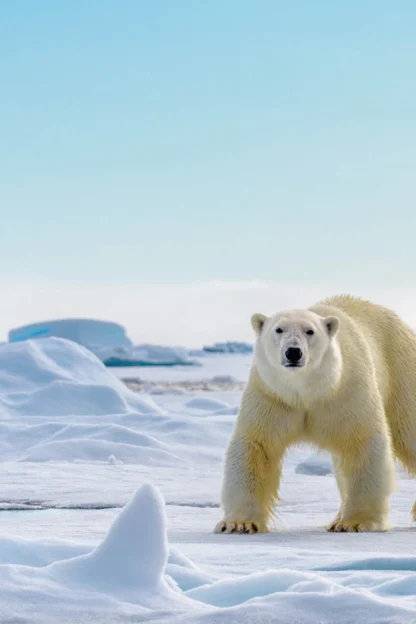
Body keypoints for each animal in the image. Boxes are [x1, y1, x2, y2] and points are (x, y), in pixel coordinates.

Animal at [214, 294, 416, 532]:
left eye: (309, 331)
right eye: (278, 329)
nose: (293, 352)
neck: (307, 393)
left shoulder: (347, 392)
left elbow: (362, 442)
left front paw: (354, 523)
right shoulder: (272, 397)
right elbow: (256, 446)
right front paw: (239, 523)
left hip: (401, 370)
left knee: (408, 430)